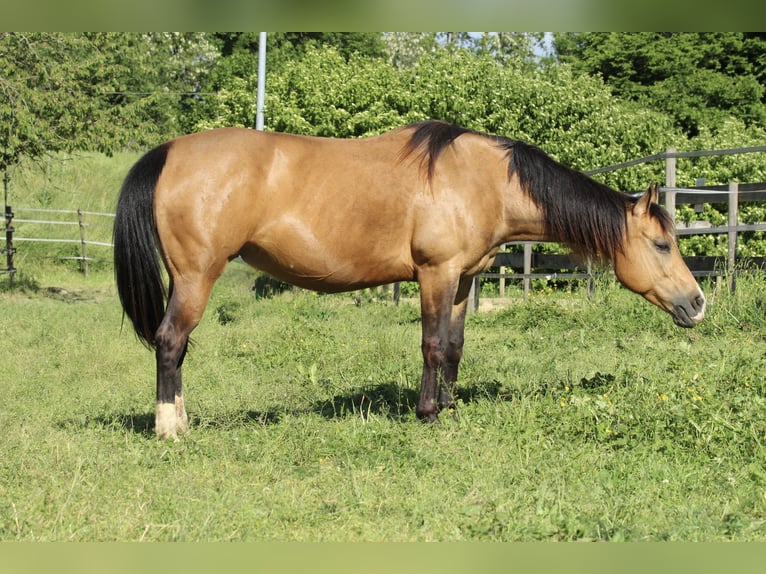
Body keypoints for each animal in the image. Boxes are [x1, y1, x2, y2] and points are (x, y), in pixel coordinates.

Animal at [114, 120, 706, 440]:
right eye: (662, 244)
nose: (698, 303)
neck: (483, 179)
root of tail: (169, 153)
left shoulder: (463, 280)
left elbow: (455, 346)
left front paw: (448, 407)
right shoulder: (435, 274)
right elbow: (432, 345)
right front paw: (427, 414)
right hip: (196, 277)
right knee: (170, 342)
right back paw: (170, 429)